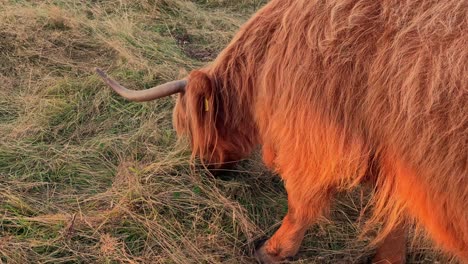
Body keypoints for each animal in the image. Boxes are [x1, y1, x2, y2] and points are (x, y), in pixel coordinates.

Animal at [96, 0, 468, 262]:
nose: (204, 169)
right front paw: (387, 258)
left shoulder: (315, 140)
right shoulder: (396, 158)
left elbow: (299, 202)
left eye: (191, 130)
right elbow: (395, 214)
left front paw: (272, 250)